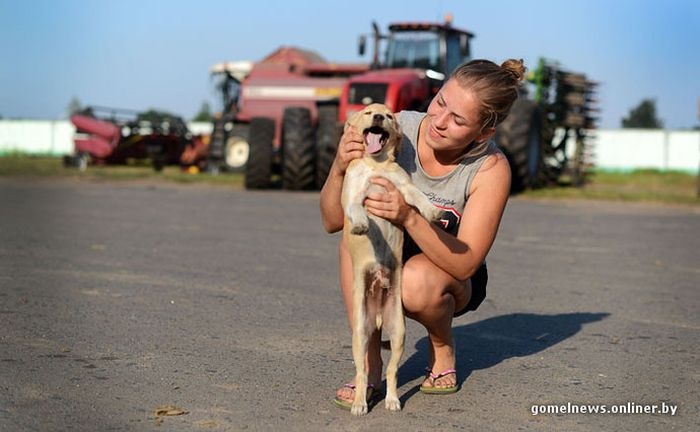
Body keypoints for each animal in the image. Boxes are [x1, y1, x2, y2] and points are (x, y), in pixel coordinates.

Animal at [340, 102, 442, 416]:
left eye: (388, 115)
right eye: (367, 112)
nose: (377, 116)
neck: (377, 165)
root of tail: (377, 316)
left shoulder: (403, 189)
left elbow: (418, 197)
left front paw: (432, 212)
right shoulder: (352, 196)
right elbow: (355, 208)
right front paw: (361, 225)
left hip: (398, 332)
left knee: (393, 371)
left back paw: (393, 400)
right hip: (360, 334)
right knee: (363, 372)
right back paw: (360, 403)